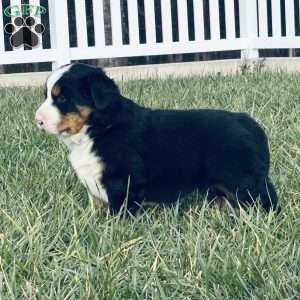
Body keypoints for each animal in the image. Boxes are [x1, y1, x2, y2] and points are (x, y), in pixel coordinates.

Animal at [35, 62, 278, 213]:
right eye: (47, 95)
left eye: (62, 98)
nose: (37, 120)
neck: (99, 128)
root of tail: (248, 121)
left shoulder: (122, 182)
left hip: (244, 181)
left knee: (265, 198)